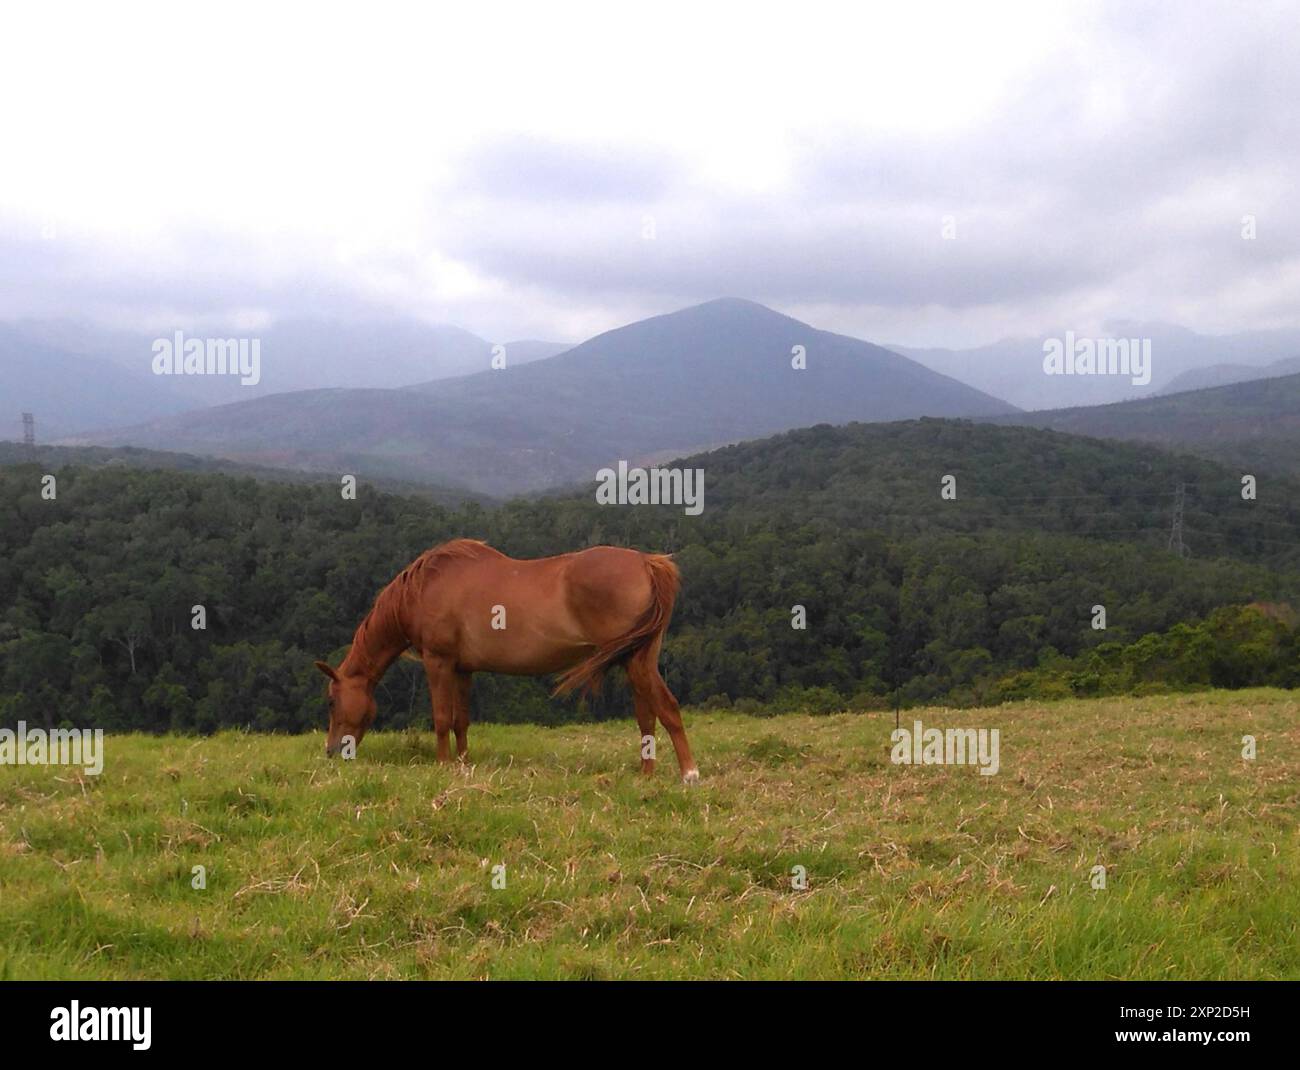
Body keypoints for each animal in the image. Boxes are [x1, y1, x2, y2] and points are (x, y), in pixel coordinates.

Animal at [315, 540, 702, 780]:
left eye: (332, 702)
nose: (332, 752)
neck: (424, 588)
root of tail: (646, 562)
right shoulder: (463, 669)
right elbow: (460, 722)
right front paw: (463, 764)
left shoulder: (438, 662)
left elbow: (441, 719)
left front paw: (443, 766)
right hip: (636, 659)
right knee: (646, 717)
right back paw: (646, 775)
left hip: (636, 660)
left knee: (667, 708)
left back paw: (689, 774)